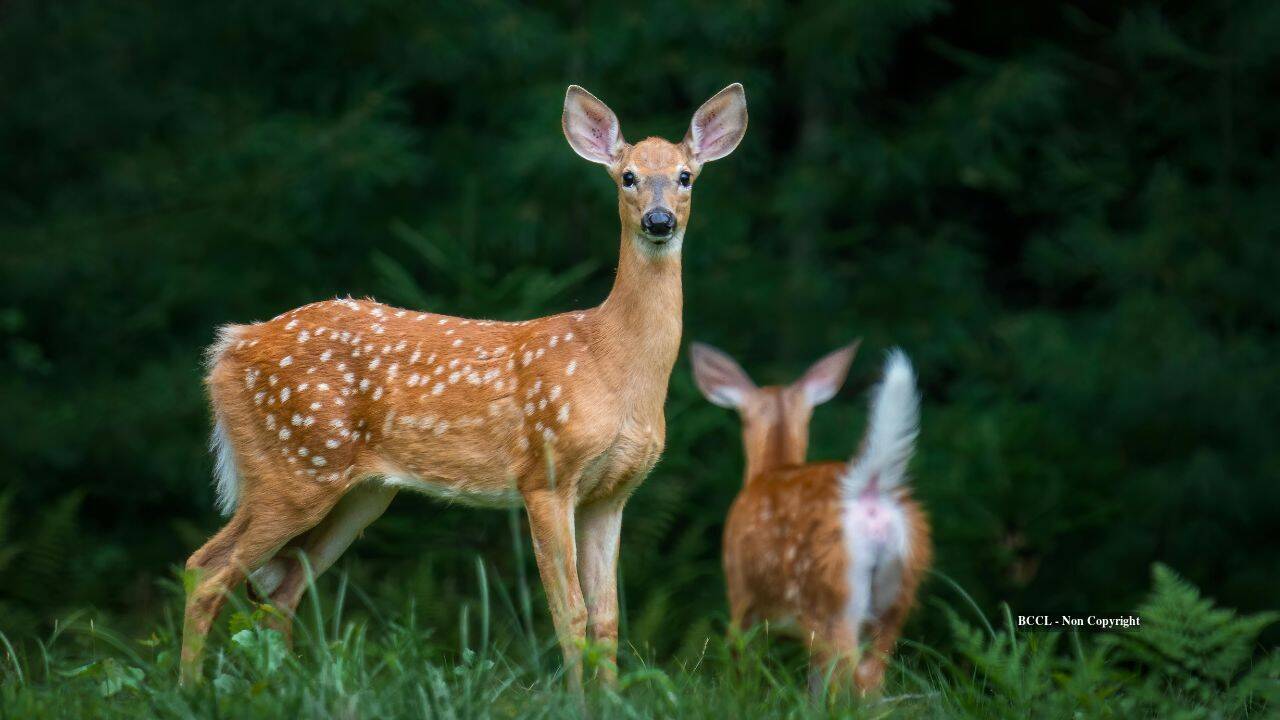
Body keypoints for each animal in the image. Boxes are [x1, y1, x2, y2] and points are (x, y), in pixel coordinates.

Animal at [180, 83, 749, 690]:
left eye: (686, 175)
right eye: (628, 177)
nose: (659, 220)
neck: (613, 363)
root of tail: (229, 347)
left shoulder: (612, 494)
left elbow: (608, 618)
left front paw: (611, 699)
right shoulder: (545, 474)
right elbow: (568, 612)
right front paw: (577, 700)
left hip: (358, 492)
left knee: (278, 588)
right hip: (291, 467)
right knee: (207, 569)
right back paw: (190, 690)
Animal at [690, 341, 932, 695]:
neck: (771, 469)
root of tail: (869, 491)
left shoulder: (740, 593)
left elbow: (741, 661)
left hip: (830, 595)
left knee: (849, 676)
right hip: (898, 592)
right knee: (870, 676)